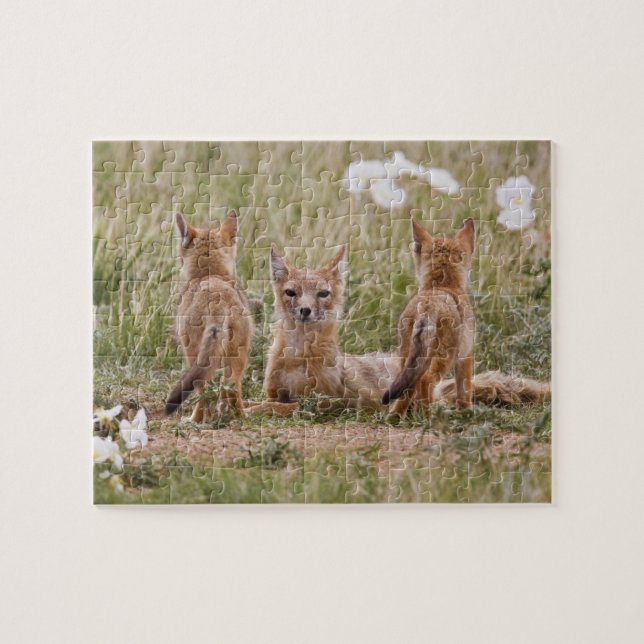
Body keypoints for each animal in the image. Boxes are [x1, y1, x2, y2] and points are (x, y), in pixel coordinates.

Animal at [164, 211, 253, 422]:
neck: (209, 275)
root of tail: (217, 298)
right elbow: (223, 392)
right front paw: (222, 412)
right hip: (237, 355)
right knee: (232, 387)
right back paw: (239, 416)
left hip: (194, 355)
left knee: (202, 390)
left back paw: (195, 420)